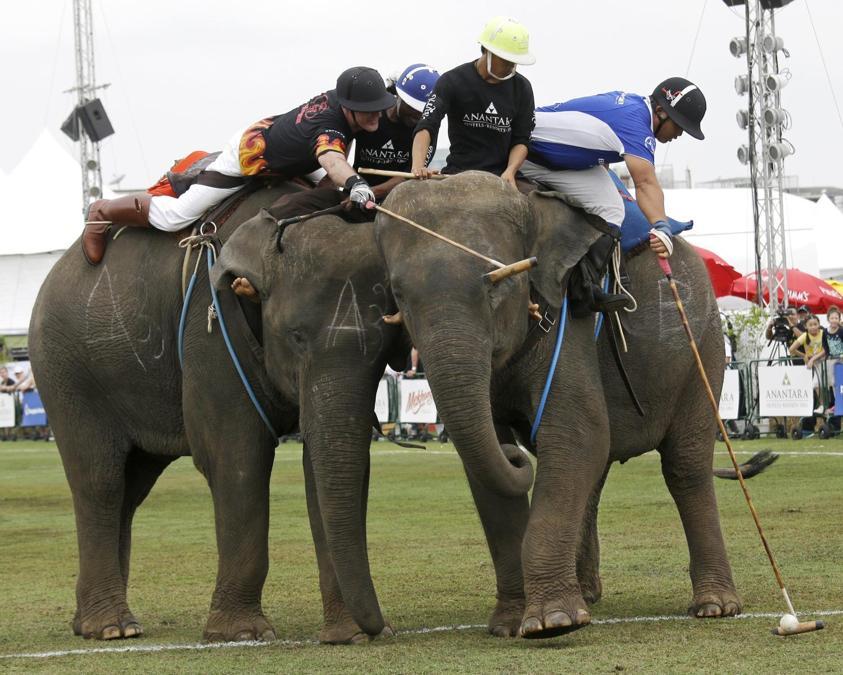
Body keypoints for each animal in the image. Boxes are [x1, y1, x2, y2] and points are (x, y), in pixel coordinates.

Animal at [28, 182, 406, 643]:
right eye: (295, 336)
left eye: (387, 349)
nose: (380, 629)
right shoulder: (210, 325)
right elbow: (235, 456)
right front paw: (242, 634)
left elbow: (322, 462)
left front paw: (349, 636)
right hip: (66, 371)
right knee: (100, 481)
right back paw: (113, 628)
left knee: (130, 489)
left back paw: (93, 625)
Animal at [374, 171, 742, 639]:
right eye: (398, 297)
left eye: (499, 282)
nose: (515, 451)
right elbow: (494, 461)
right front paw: (510, 625)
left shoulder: (568, 318)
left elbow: (576, 434)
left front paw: (553, 623)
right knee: (597, 473)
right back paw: (588, 594)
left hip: (704, 346)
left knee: (685, 466)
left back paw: (715, 607)